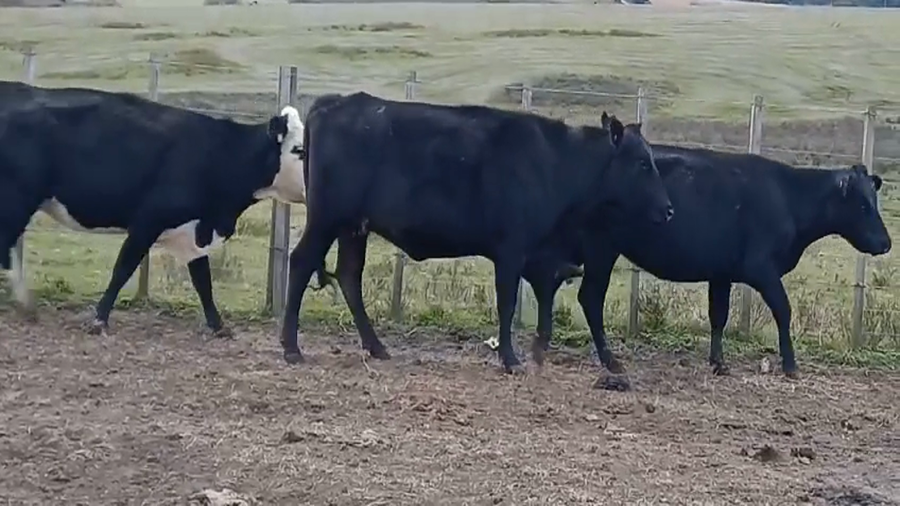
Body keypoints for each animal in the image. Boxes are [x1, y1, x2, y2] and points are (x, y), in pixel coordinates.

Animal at [0, 80, 307, 336]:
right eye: (299, 150)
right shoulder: (148, 222)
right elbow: (123, 268)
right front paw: (99, 320)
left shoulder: (194, 231)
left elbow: (203, 281)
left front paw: (219, 326)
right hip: (17, 201)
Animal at [278, 92, 673, 374]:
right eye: (643, 163)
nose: (668, 208)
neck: (554, 161)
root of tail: (334, 103)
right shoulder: (512, 249)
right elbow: (507, 302)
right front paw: (511, 359)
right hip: (326, 219)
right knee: (300, 263)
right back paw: (291, 347)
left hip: (353, 228)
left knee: (348, 275)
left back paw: (376, 346)